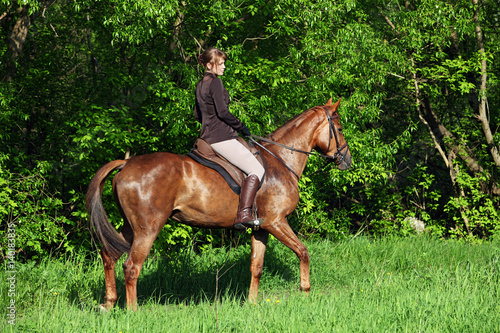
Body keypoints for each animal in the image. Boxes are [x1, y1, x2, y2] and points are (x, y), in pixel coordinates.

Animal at [86, 97, 352, 310]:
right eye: (339, 128)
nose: (347, 160)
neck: (280, 159)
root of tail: (126, 164)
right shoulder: (276, 222)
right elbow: (303, 252)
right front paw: (305, 291)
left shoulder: (261, 228)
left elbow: (256, 266)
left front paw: (252, 304)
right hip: (147, 229)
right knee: (131, 267)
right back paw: (133, 312)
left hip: (131, 227)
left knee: (109, 256)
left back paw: (109, 304)